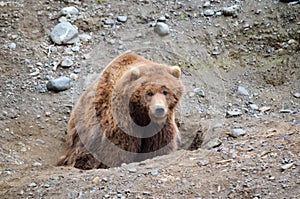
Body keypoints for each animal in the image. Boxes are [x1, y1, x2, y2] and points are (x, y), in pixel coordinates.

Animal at [55, 53, 184, 169]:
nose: (159, 109)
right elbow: (118, 150)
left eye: (165, 92)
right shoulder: (120, 123)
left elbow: (159, 146)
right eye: (149, 93)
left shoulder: (160, 126)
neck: (141, 116)